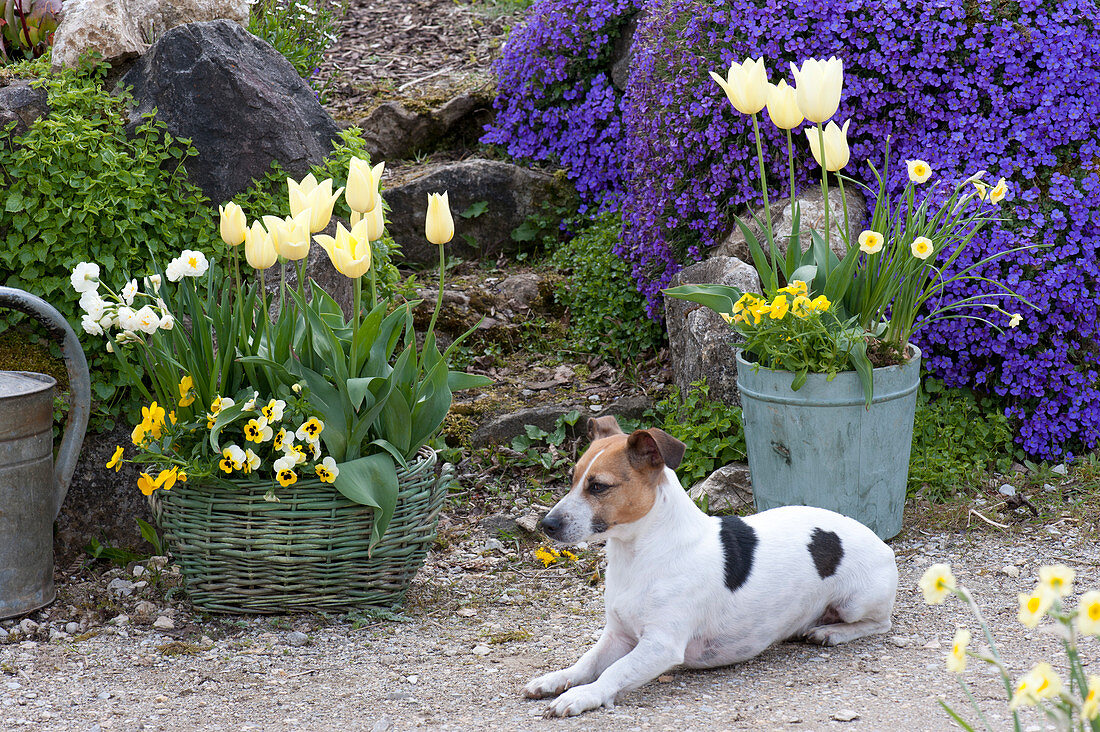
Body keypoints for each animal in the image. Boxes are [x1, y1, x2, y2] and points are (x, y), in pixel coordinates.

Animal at [525, 416, 902, 713]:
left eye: (599, 487)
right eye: (571, 479)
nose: (547, 524)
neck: (640, 556)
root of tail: (881, 543)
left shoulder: (660, 645)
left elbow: (612, 672)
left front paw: (583, 695)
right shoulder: (617, 635)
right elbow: (587, 661)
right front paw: (557, 679)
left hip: (856, 603)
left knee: (879, 623)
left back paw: (832, 632)